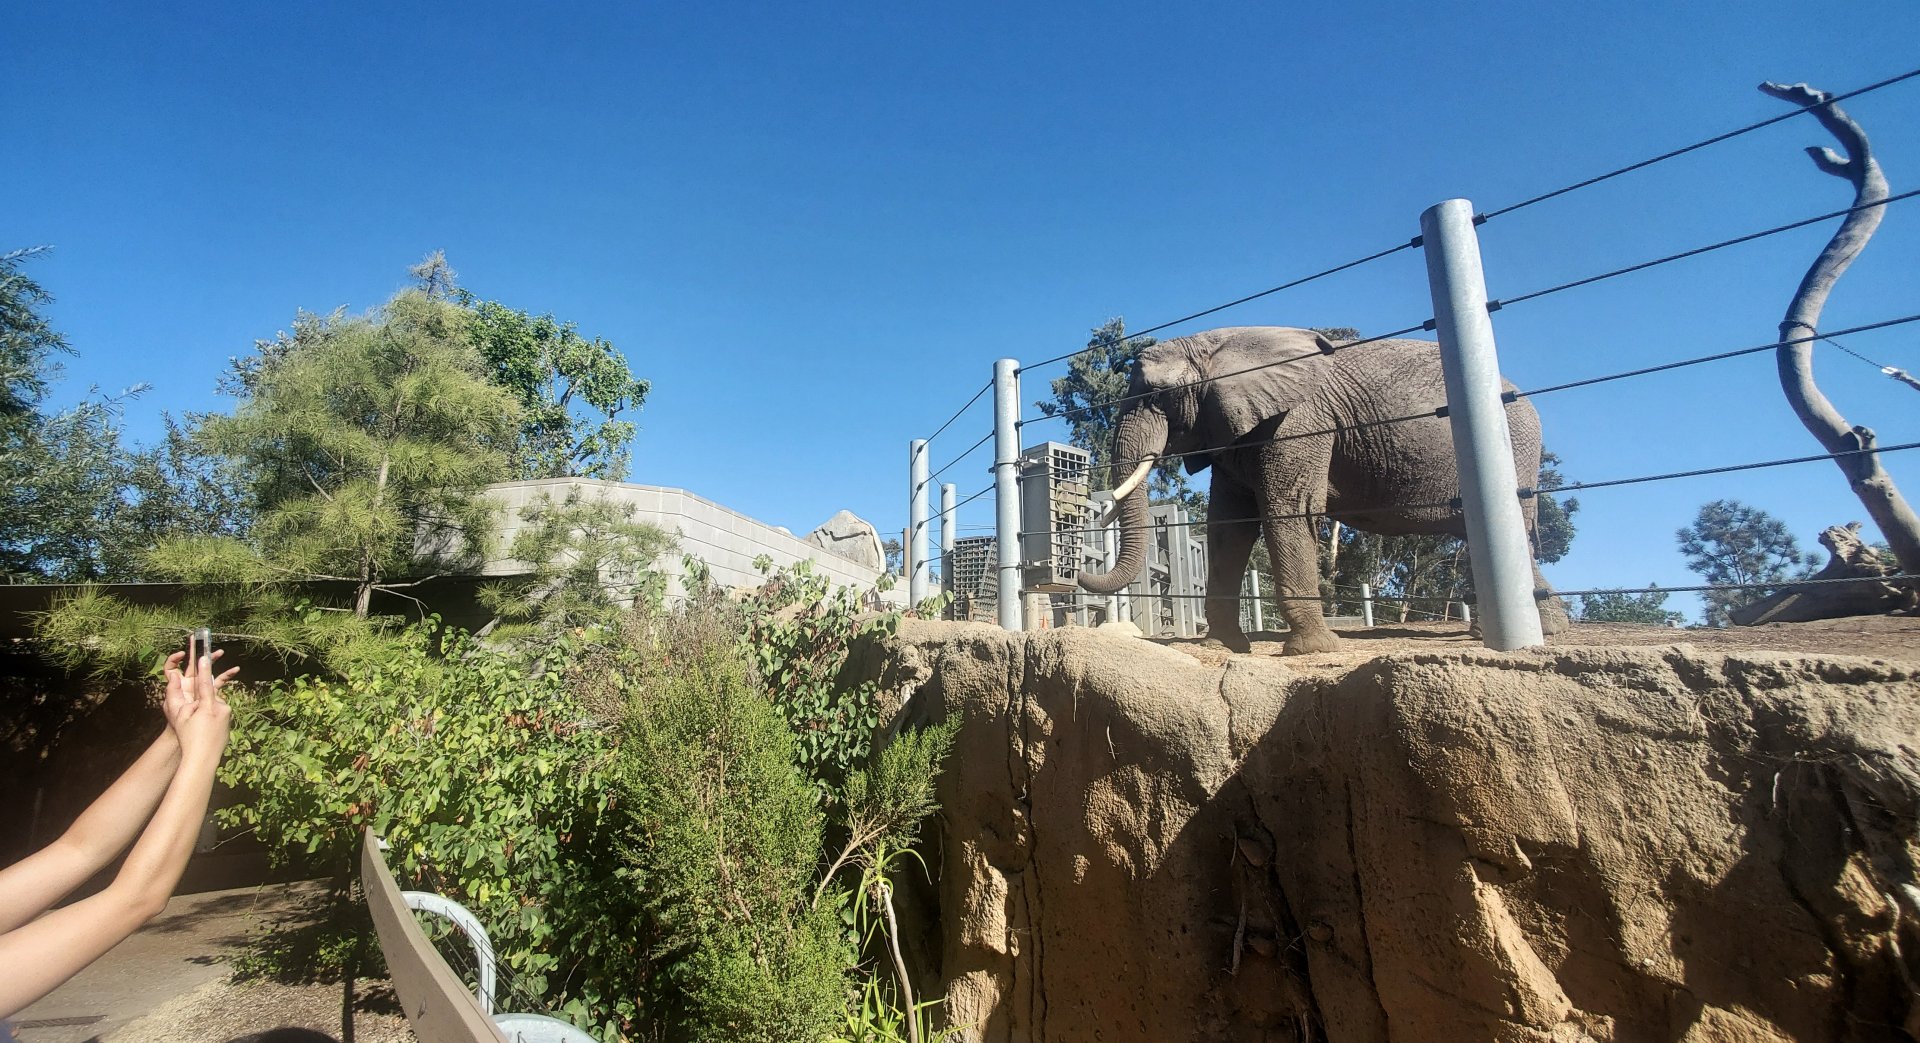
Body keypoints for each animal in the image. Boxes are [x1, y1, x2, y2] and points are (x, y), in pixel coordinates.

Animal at [1075, 326, 1571, 655]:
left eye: (1158, 396)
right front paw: (1224, 646)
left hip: (1516, 447)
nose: (1080, 568)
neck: (1219, 344)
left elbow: (1287, 507)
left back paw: (1529, 632)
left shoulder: (1300, 419)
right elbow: (1228, 525)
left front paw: (1313, 650)